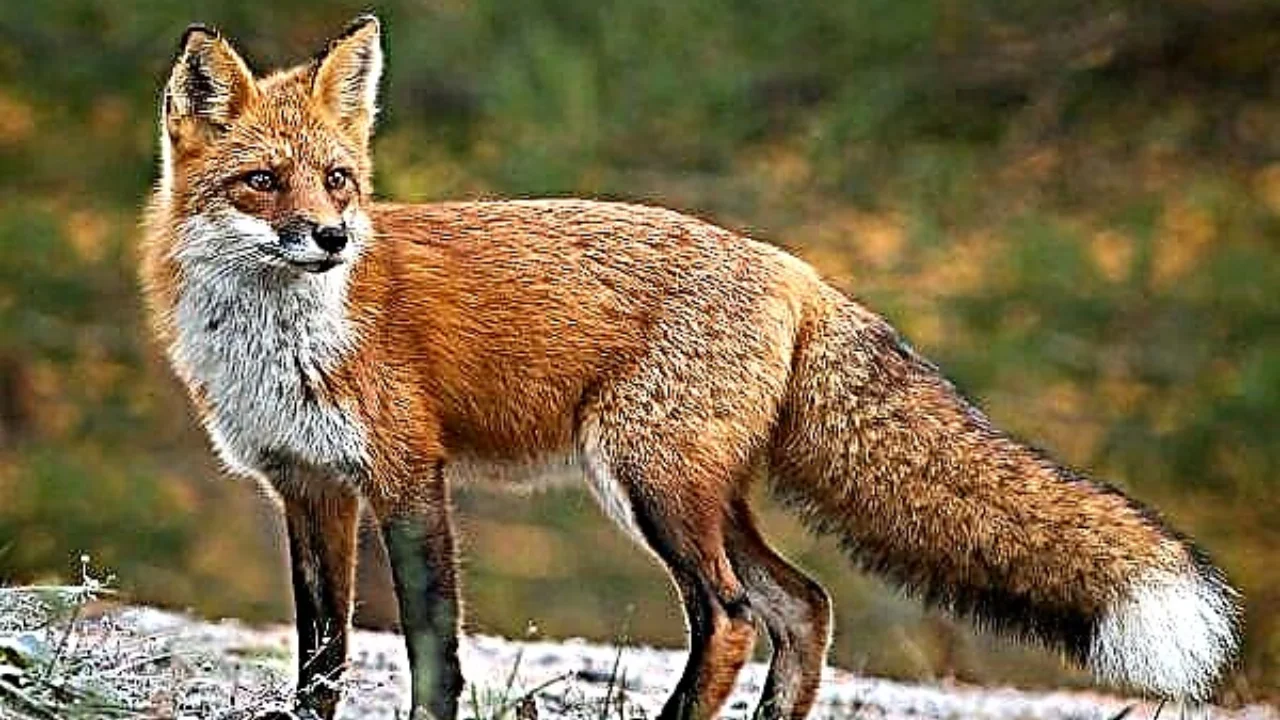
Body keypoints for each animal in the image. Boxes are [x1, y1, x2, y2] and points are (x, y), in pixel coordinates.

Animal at [141, 15, 1242, 720]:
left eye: (338, 180)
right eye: (260, 181)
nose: (331, 239)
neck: (280, 344)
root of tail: (796, 268)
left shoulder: (409, 475)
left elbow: (431, 648)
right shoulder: (307, 488)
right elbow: (321, 655)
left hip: (649, 485)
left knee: (731, 617)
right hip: (692, 494)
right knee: (802, 605)